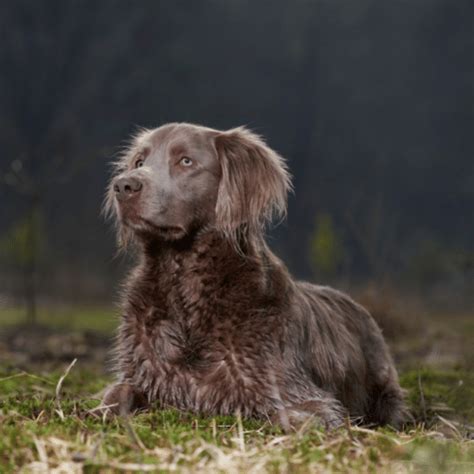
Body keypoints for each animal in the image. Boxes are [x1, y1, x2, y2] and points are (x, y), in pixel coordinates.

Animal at [103, 123, 408, 430]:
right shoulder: (144, 374)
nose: (123, 185)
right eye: (140, 162)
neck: (186, 288)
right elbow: (115, 395)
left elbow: (283, 415)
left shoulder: (304, 396)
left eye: (186, 161)